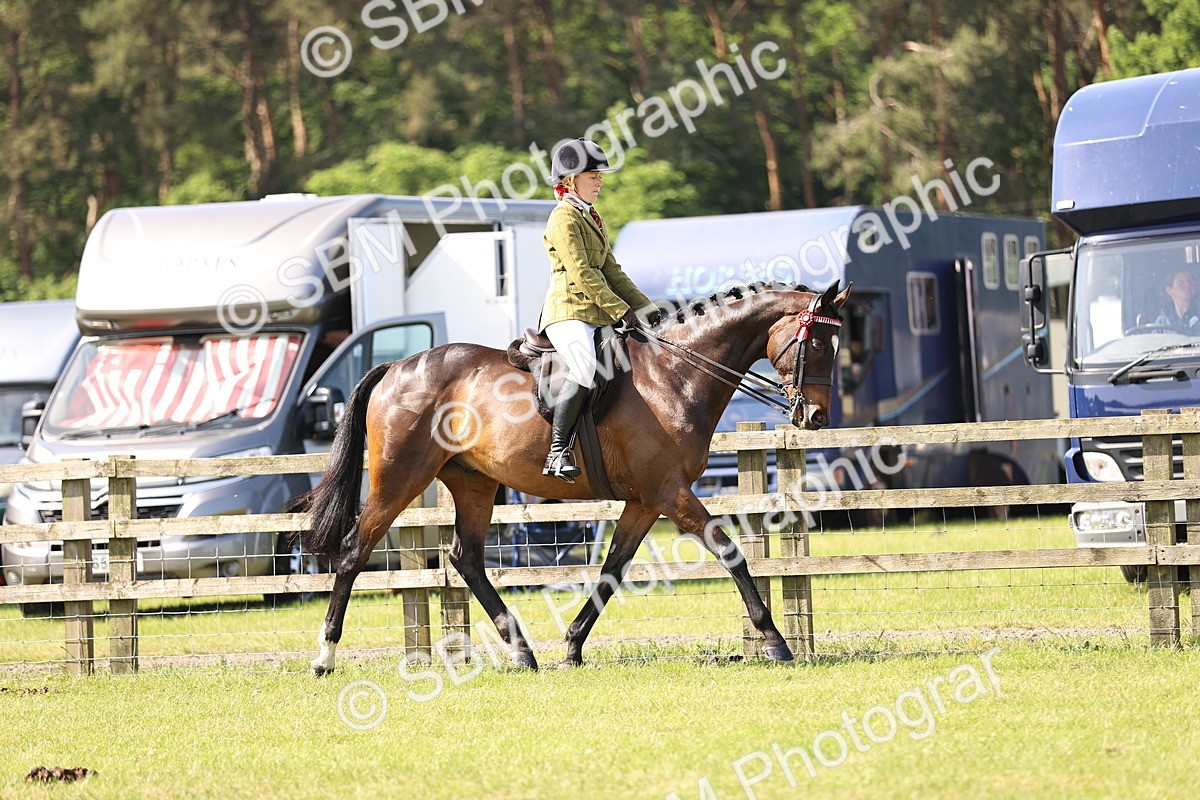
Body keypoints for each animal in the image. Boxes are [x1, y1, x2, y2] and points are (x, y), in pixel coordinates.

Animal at [298, 280, 851, 675]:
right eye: (820, 344)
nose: (817, 417)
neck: (674, 373)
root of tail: (397, 366)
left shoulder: (646, 501)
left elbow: (612, 570)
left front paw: (572, 646)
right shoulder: (671, 493)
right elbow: (729, 551)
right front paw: (775, 642)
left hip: (474, 483)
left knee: (466, 558)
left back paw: (522, 652)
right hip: (399, 479)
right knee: (353, 551)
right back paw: (324, 658)